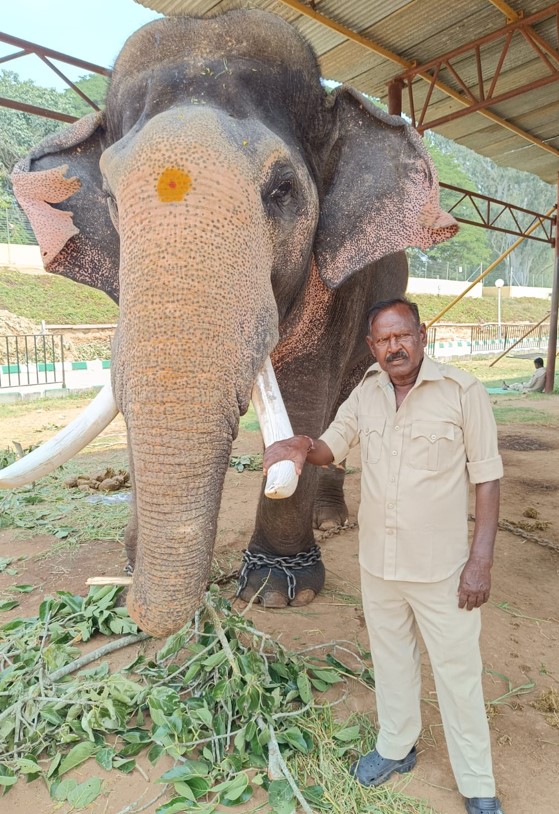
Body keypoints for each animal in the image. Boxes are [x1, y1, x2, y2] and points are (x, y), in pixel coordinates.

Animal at [4, 9, 457, 637]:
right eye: (112, 200)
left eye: (283, 190)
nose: (135, 610)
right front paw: (130, 567)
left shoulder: (334, 286)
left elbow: (306, 394)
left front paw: (277, 588)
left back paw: (331, 523)